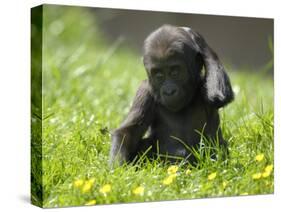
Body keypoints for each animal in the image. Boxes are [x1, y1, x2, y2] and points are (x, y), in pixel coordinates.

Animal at [108, 24, 233, 166]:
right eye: (159, 75)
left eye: (175, 72)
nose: (169, 91)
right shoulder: (145, 90)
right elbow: (127, 132)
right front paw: (118, 168)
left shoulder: (204, 85)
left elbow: (218, 96)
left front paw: (196, 37)